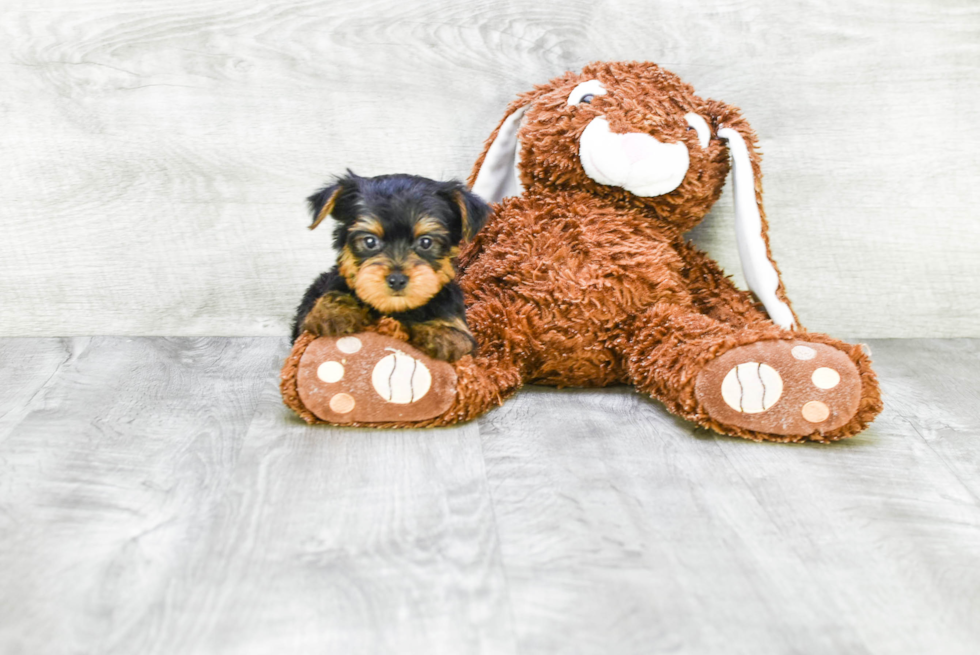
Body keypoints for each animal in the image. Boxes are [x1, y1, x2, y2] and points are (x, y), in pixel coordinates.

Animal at [290, 169, 490, 364]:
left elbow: (460, 336)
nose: (397, 280)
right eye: (370, 241)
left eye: (426, 242)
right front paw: (336, 310)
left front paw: (441, 331)